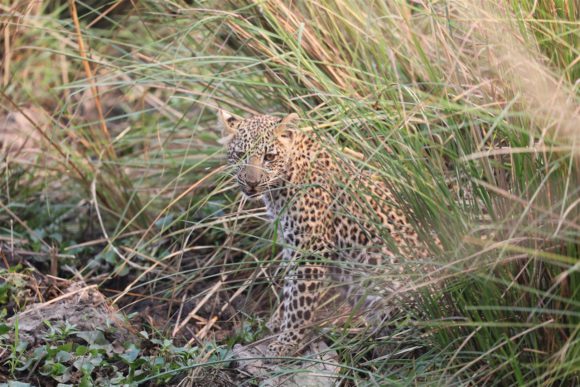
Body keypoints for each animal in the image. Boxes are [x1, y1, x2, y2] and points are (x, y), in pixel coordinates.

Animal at [219, 108, 440, 358]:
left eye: (269, 157)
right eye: (240, 155)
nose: (252, 183)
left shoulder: (311, 247)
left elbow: (299, 300)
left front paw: (287, 342)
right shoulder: (291, 244)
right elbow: (289, 288)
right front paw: (276, 324)